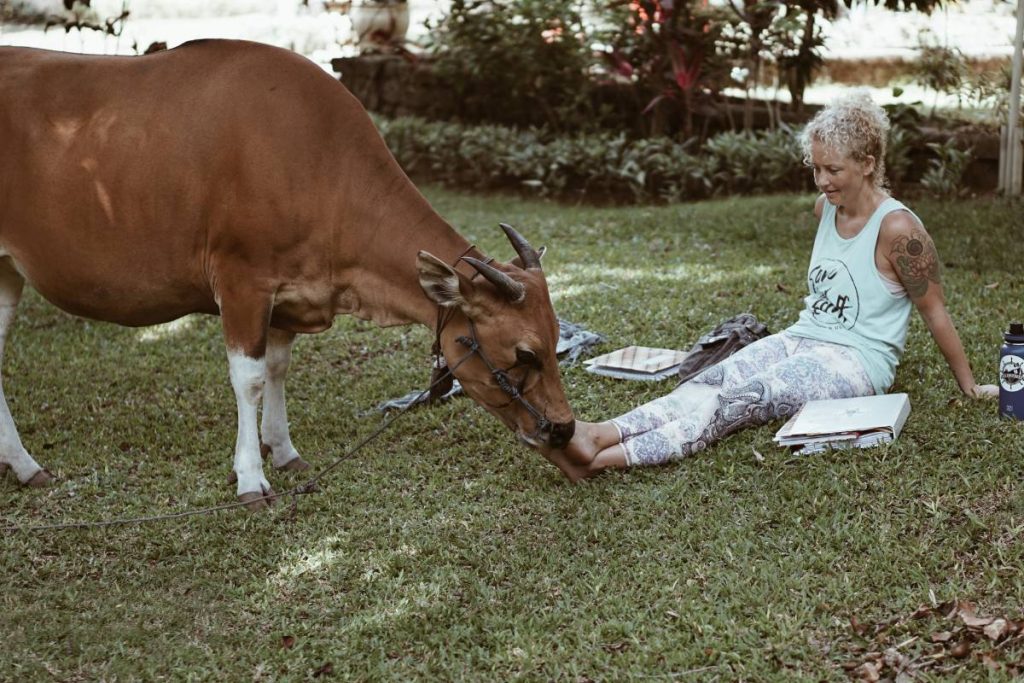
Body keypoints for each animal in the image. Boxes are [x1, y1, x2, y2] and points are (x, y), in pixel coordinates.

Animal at [0, 40, 575, 508]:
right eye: (526, 354)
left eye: (557, 339)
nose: (565, 430)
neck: (319, 164)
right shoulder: (242, 284)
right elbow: (249, 379)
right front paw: (251, 477)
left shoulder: (289, 295)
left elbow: (277, 368)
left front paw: (284, 449)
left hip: (6, 274)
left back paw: (23, 466)